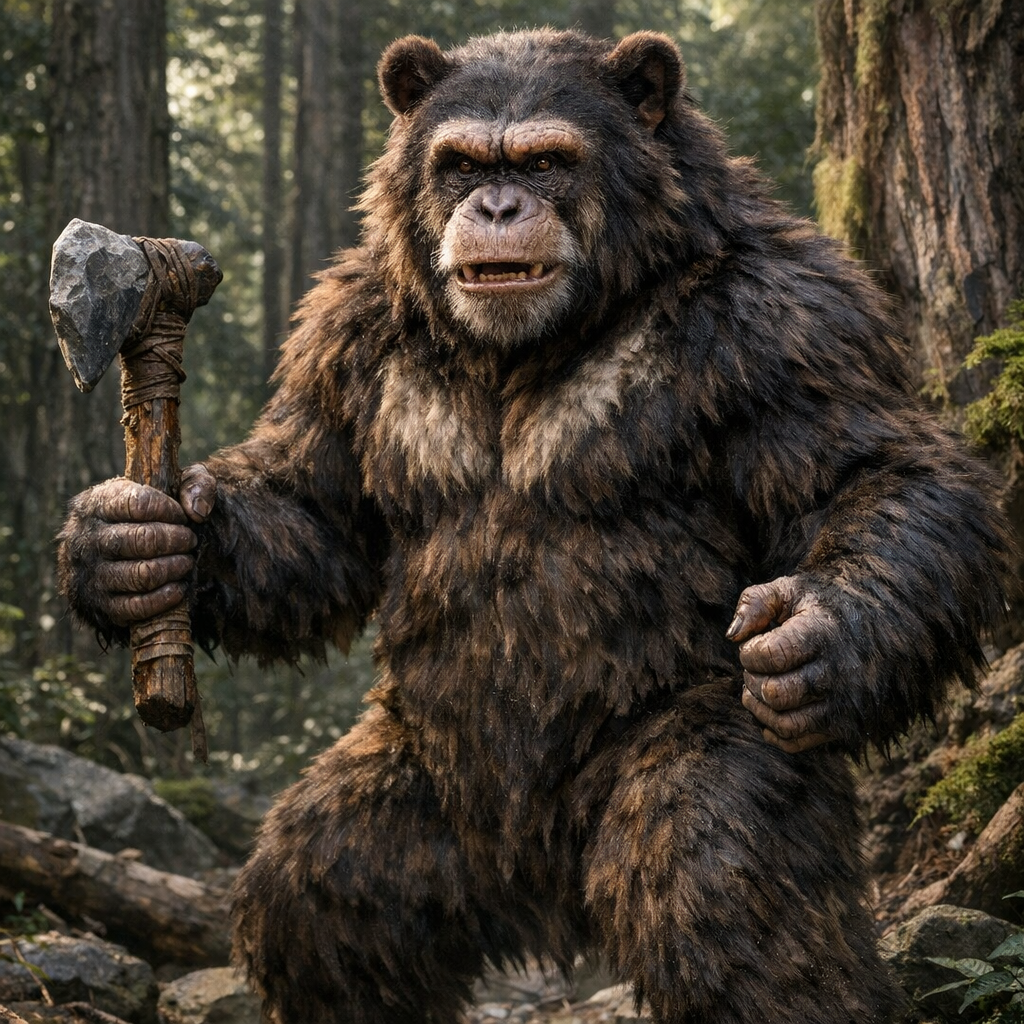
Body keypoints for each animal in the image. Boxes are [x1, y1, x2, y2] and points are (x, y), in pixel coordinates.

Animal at [58, 28, 1010, 1024]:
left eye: (547, 161)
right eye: (463, 162)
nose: (499, 204)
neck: (534, 340)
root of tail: (543, 893)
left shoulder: (788, 318)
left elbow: (866, 472)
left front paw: (818, 632)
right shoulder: (345, 327)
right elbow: (317, 510)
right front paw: (133, 547)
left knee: (721, 885)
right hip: (426, 794)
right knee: (318, 902)